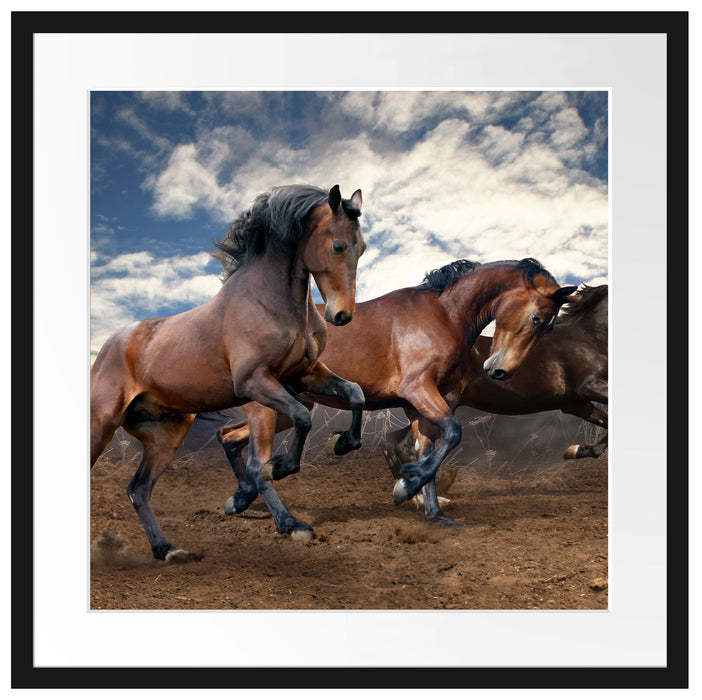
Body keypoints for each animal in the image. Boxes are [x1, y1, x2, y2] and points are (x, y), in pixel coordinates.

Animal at [90, 184, 366, 560]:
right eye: (338, 245)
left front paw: (342, 444)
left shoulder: (305, 374)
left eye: (361, 248)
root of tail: (111, 343)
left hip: (166, 434)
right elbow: (296, 425)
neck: (269, 302)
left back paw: (167, 549)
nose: (342, 315)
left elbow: (354, 393)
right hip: (102, 424)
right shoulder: (254, 383)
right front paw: (283, 486)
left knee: (139, 489)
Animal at [216, 258, 579, 536]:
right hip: (266, 409)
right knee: (257, 463)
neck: (443, 314)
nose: (501, 371)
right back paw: (289, 524)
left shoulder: (419, 404)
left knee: (229, 438)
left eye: (548, 327)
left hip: (290, 407)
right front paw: (406, 486)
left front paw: (434, 513)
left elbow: (427, 449)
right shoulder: (418, 390)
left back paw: (240, 499)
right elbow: (452, 433)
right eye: (536, 318)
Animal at [383, 284, 608, 490]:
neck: (585, 338)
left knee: (392, 442)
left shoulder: (575, 403)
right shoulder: (587, 387)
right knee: (404, 446)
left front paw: (576, 450)